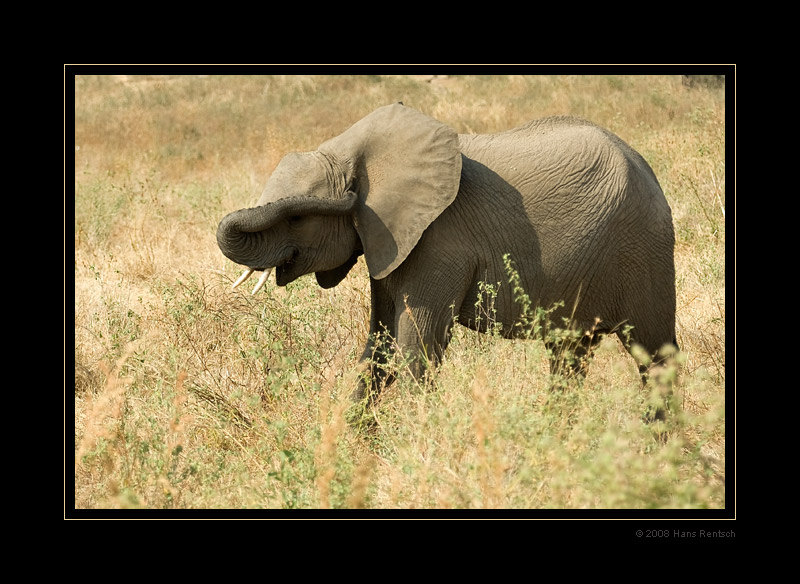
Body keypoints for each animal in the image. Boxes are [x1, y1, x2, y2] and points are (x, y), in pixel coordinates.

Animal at [217, 102, 676, 404]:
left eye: (296, 217)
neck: (355, 152)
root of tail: (646, 166)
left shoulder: (438, 244)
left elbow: (416, 350)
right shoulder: (389, 240)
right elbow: (378, 350)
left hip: (643, 248)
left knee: (655, 356)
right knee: (568, 357)